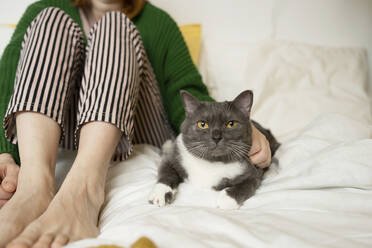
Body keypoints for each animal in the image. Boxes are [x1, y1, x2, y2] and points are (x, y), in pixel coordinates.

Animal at [148, 89, 280, 209]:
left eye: (231, 124)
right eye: (202, 124)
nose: (216, 137)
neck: (211, 162)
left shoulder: (252, 172)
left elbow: (246, 185)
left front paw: (227, 200)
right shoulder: (174, 156)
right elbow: (166, 172)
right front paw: (159, 194)